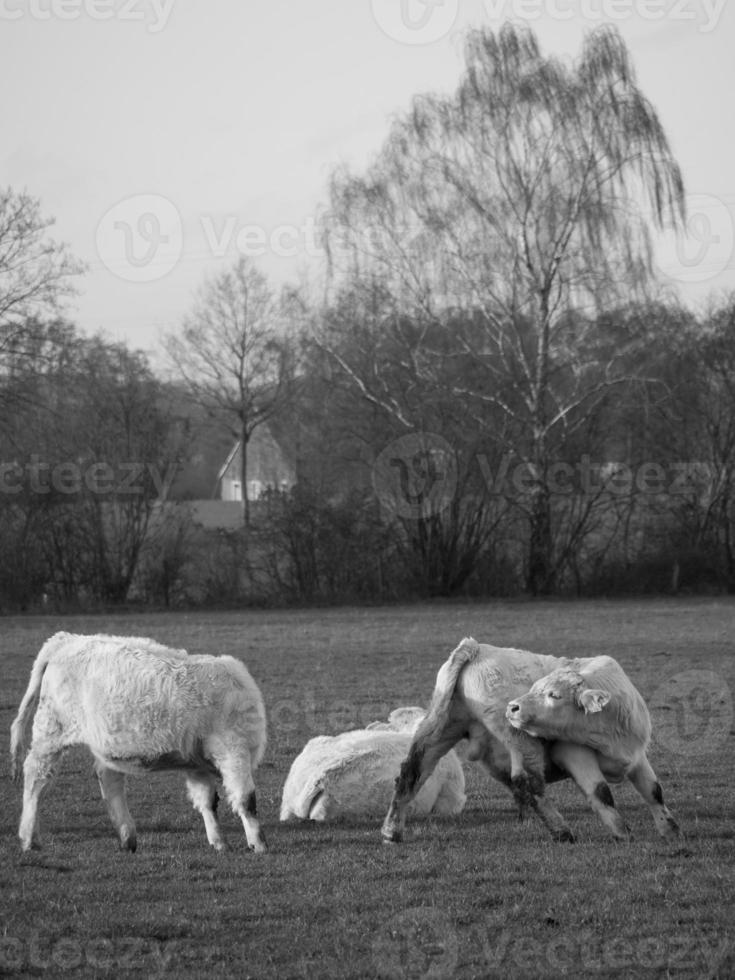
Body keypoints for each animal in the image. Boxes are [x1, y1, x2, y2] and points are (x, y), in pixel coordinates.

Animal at [10, 632, 268, 852]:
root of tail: (66, 639)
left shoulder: (197, 762)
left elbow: (207, 801)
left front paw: (218, 842)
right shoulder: (234, 750)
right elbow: (246, 799)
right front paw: (258, 844)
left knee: (108, 779)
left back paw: (127, 837)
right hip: (51, 731)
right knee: (35, 776)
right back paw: (29, 838)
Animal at [508, 656, 680, 840]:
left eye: (554, 695)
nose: (512, 707)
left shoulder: (637, 754)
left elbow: (654, 791)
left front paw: (671, 830)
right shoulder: (573, 753)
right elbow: (601, 793)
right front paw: (623, 835)